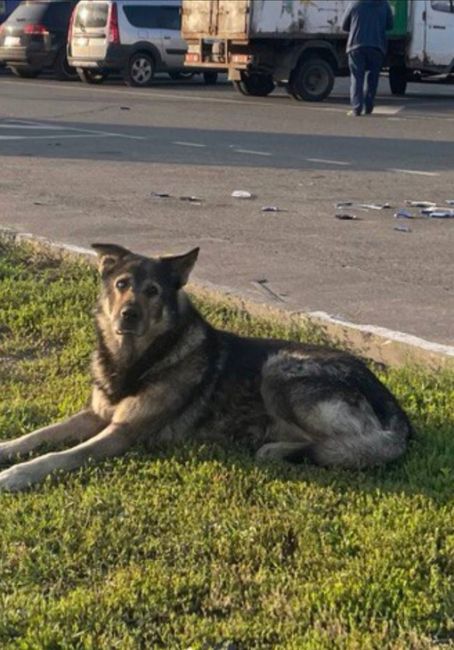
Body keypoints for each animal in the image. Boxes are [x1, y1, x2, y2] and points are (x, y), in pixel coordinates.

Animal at [0, 243, 412, 492]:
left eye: (153, 291)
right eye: (121, 284)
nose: (128, 315)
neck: (138, 359)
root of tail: (398, 414)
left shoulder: (123, 432)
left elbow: (60, 455)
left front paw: (17, 474)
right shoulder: (95, 415)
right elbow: (39, 435)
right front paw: (8, 448)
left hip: (279, 371)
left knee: (342, 446)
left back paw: (275, 449)